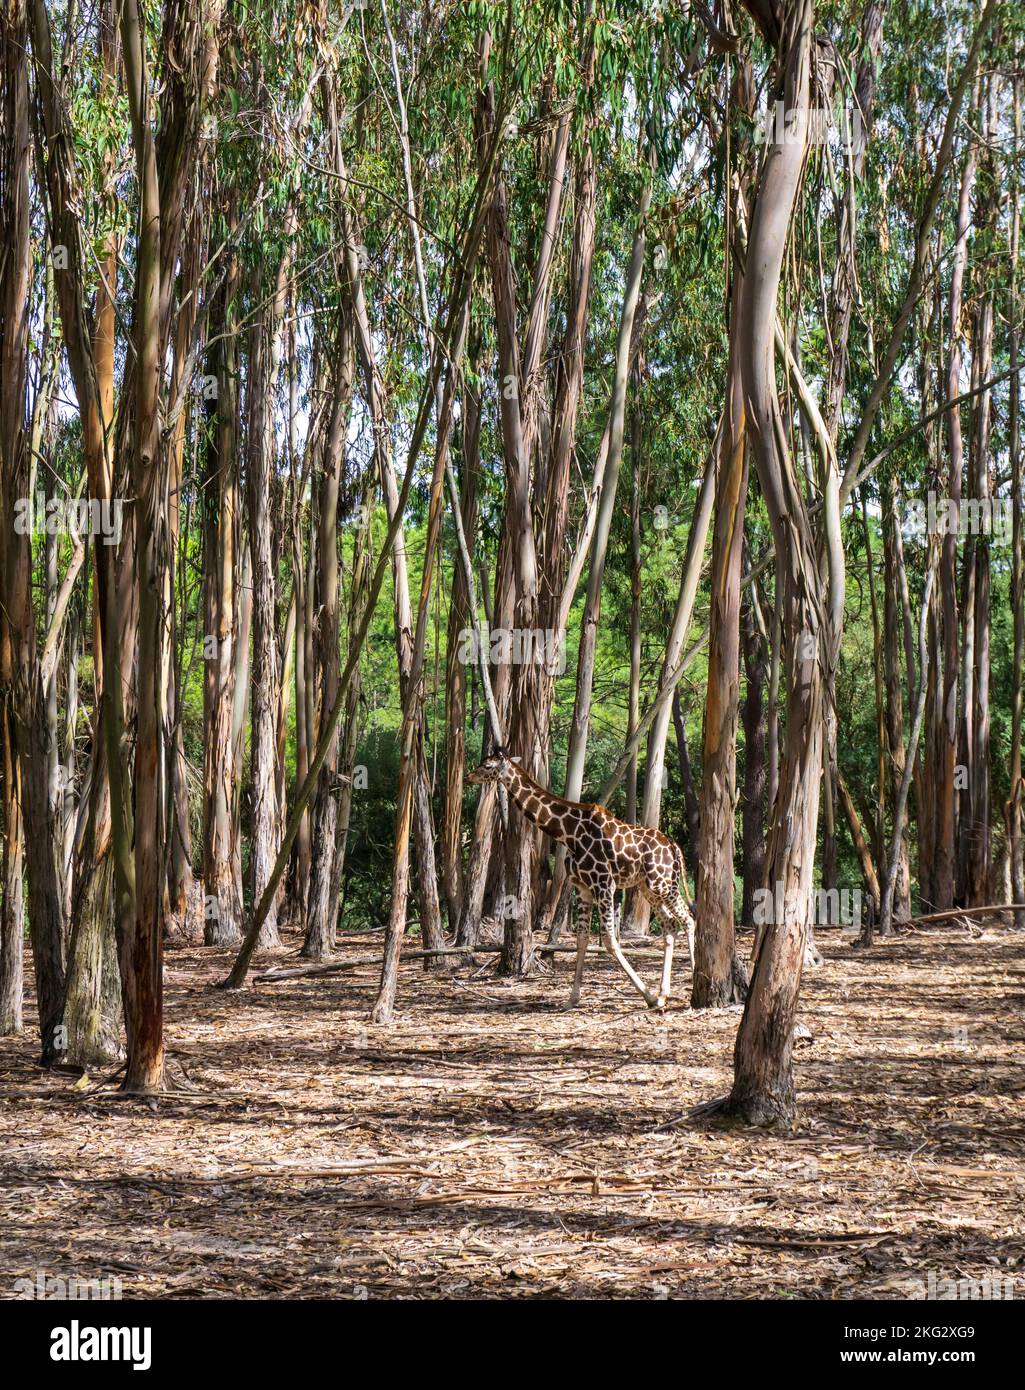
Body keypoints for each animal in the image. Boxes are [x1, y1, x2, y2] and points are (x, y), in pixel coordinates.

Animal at [464, 745, 695, 1006]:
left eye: (487, 766)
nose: (468, 777)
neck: (568, 833)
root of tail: (674, 847)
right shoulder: (582, 886)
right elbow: (582, 940)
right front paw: (572, 998)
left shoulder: (604, 883)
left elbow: (610, 941)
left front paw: (648, 996)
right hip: (650, 887)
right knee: (670, 924)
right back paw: (665, 992)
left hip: (663, 884)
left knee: (687, 919)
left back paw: (690, 981)